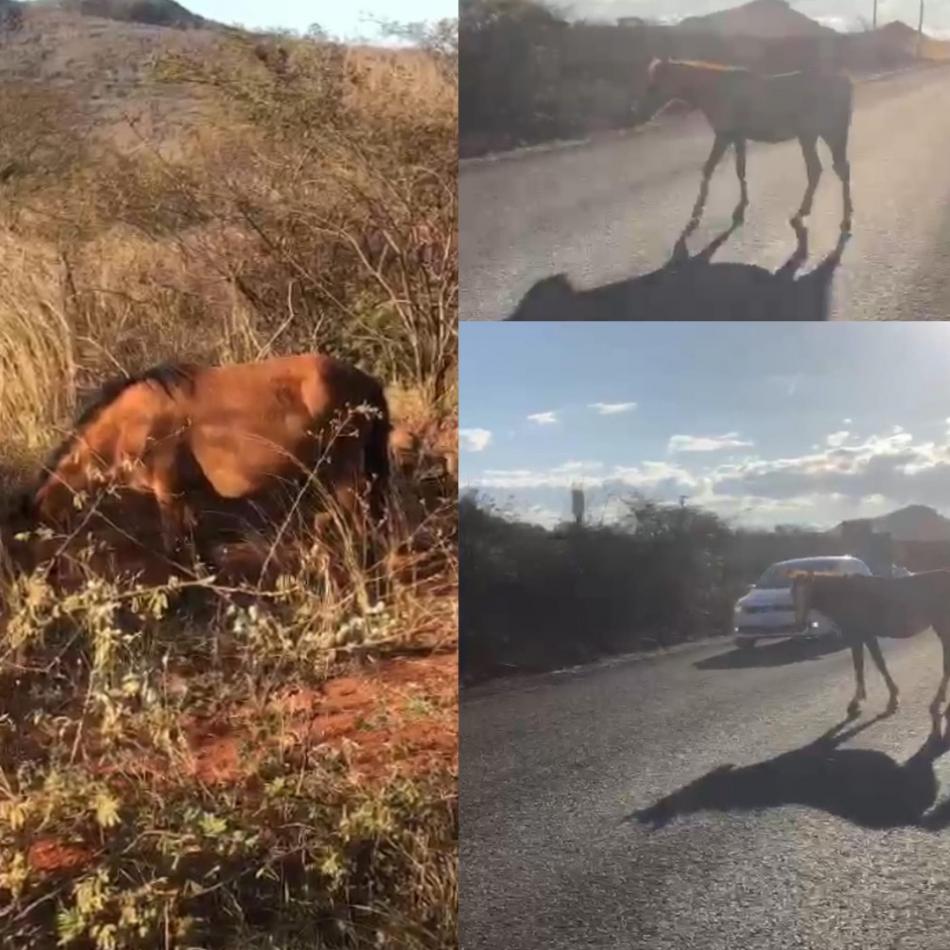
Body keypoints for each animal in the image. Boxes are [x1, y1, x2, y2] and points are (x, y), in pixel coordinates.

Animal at [640, 58, 856, 237]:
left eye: (654, 85)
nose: (641, 113)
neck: (714, 89)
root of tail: (844, 82)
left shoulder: (724, 136)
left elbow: (709, 168)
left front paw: (696, 214)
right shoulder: (738, 137)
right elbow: (740, 169)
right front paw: (740, 208)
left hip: (825, 133)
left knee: (832, 169)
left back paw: (840, 219)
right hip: (812, 135)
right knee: (824, 169)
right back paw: (810, 213)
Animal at [792, 568, 950, 724]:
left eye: (808, 591)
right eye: (792, 593)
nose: (800, 625)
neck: (847, 596)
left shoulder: (862, 636)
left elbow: (871, 665)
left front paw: (886, 700)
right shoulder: (861, 638)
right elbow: (867, 666)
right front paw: (863, 701)